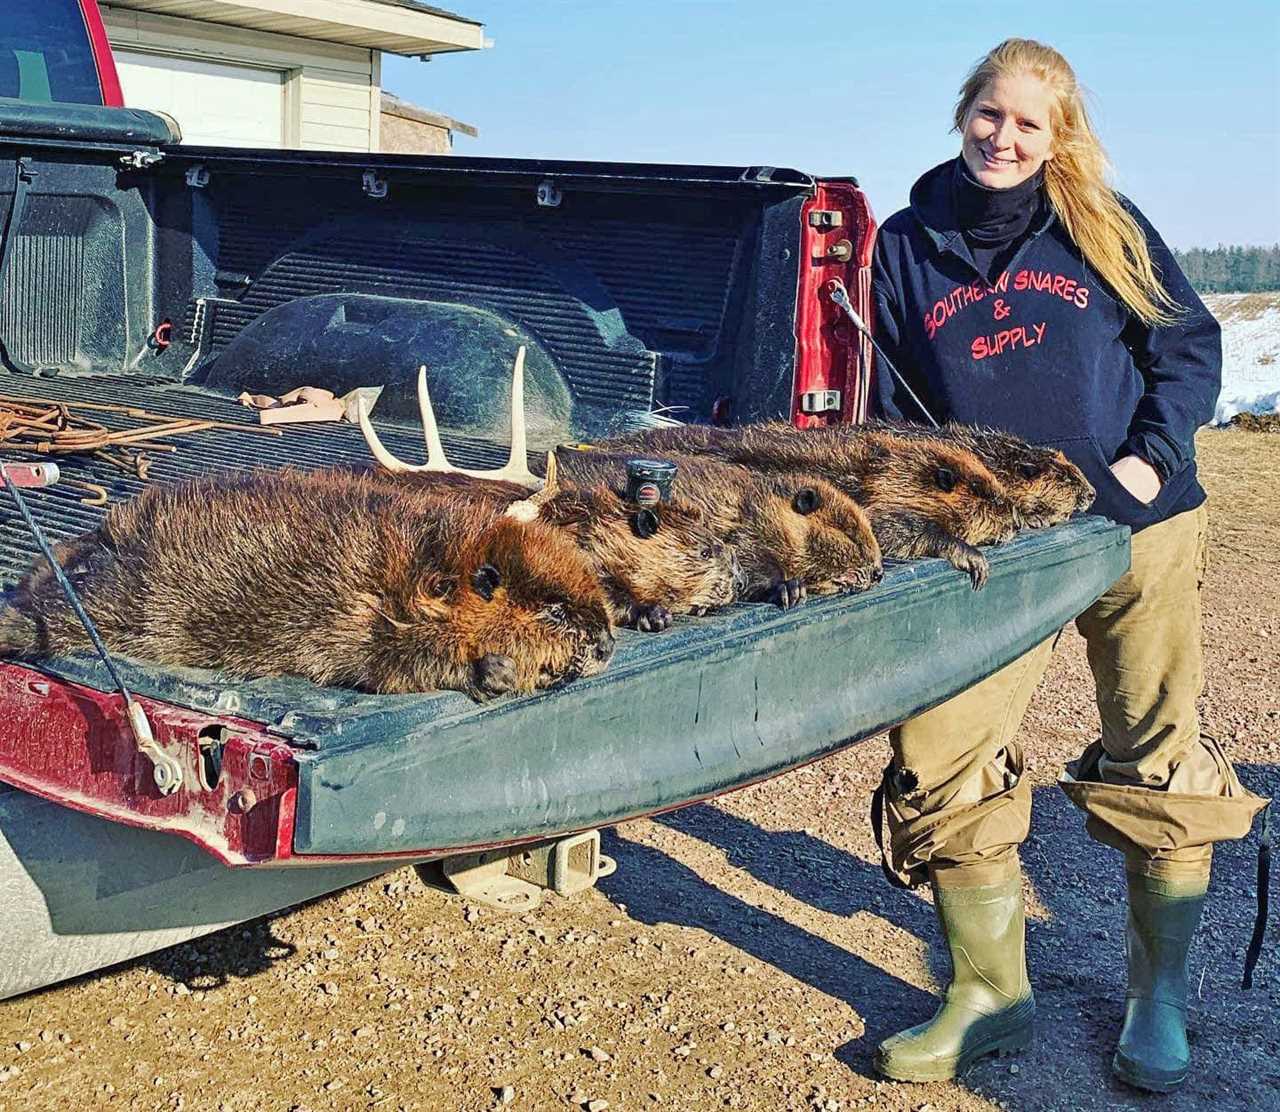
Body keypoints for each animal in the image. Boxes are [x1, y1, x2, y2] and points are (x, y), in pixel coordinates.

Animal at [0, 470, 614, 696]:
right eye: (555, 610)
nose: (608, 644)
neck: (424, 573)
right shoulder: (366, 621)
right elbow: (397, 667)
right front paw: (496, 671)